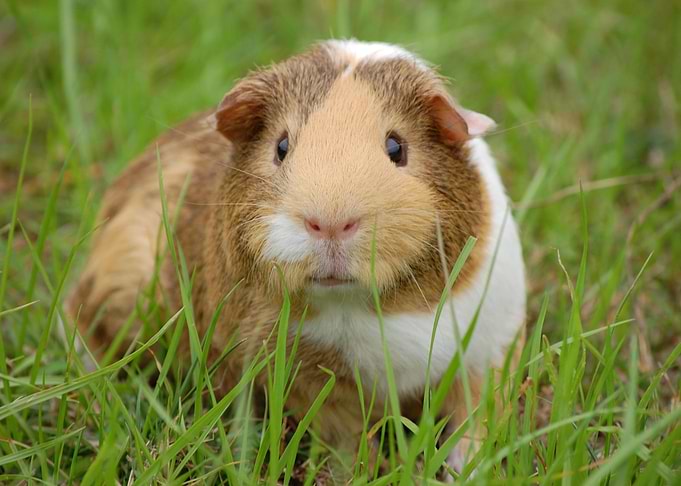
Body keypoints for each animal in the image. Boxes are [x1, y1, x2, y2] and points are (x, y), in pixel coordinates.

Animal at [67, 39, 526, 476]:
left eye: (396, 147)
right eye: (282, 146)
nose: (330, 222)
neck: (371, 308)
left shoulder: (491, 349)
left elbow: (476, 416)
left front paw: (467, 468)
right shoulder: (310, 382)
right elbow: (345, 437)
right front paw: (365, 470)